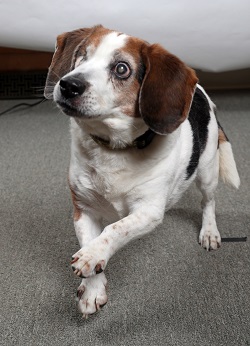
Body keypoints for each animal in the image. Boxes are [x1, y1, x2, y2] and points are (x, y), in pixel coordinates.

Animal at [44, 23, 239, 316]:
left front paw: (92, 255)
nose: (68, 84)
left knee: (208, 202)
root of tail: (201, 92)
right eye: (82, 55)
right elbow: (92, 239)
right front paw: (92, 289)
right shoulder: (83, 210)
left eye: (121, 69)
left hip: (207, 172)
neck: (113, 150)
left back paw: (209, 231)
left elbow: (114, 230)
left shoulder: (148, 211)